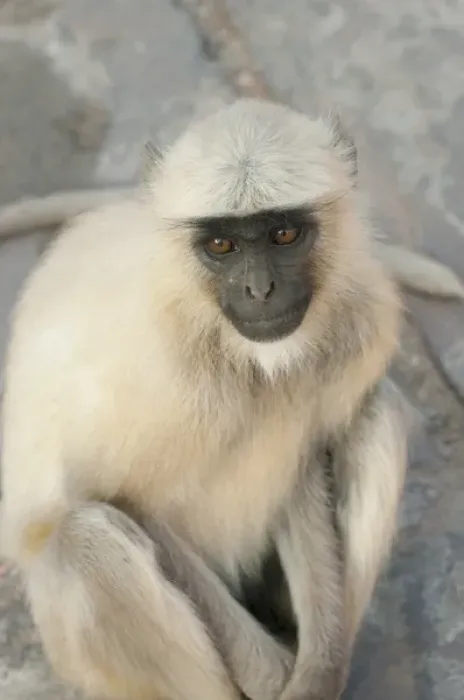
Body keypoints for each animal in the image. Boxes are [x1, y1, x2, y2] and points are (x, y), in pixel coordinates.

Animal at [0, 97, 407, 700]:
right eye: (222, 245)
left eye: (284, 234)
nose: (260, 290)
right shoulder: (152, 368)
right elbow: (122, 498)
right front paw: (273, 674)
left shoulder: (358, 320)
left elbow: (302, 466)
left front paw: (318, 673)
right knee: (82, 540)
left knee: (380, 412)